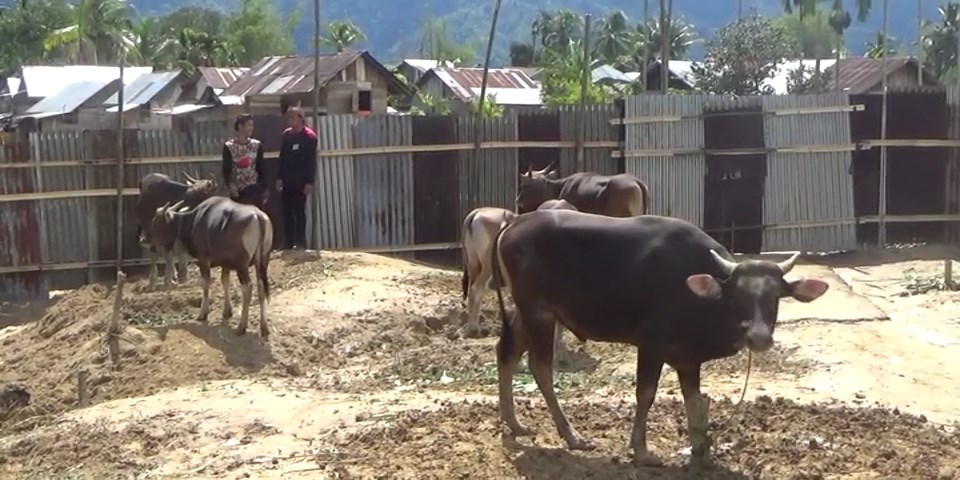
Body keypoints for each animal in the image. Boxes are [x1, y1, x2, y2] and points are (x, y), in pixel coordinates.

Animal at [148, 195, 274, 338]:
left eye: (156, 221)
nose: (144, 239)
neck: (194, 220)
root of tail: (258, 217)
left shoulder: (204, 259)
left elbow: (206, 284)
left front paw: (203, 313)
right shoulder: (226, 264)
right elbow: (224, 281)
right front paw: (227, 311)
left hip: (242, 265)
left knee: (248, 287)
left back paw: (241, 327)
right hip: (262, 262)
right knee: (261, 287)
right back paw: (264, 327)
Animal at [492, 211, 828, 468]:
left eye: (775, 296)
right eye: (738, 295)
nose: (758, 337)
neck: (699, 295)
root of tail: (516, 222)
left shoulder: (689, 359)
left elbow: (695, 400)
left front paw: (701, 452)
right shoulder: (651, 345)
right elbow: (646, 394)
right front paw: (642, 452)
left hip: (526, 312)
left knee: (506, 352)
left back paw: (514, 423)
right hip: (539, 312)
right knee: (540, 367)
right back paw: (572, 436)